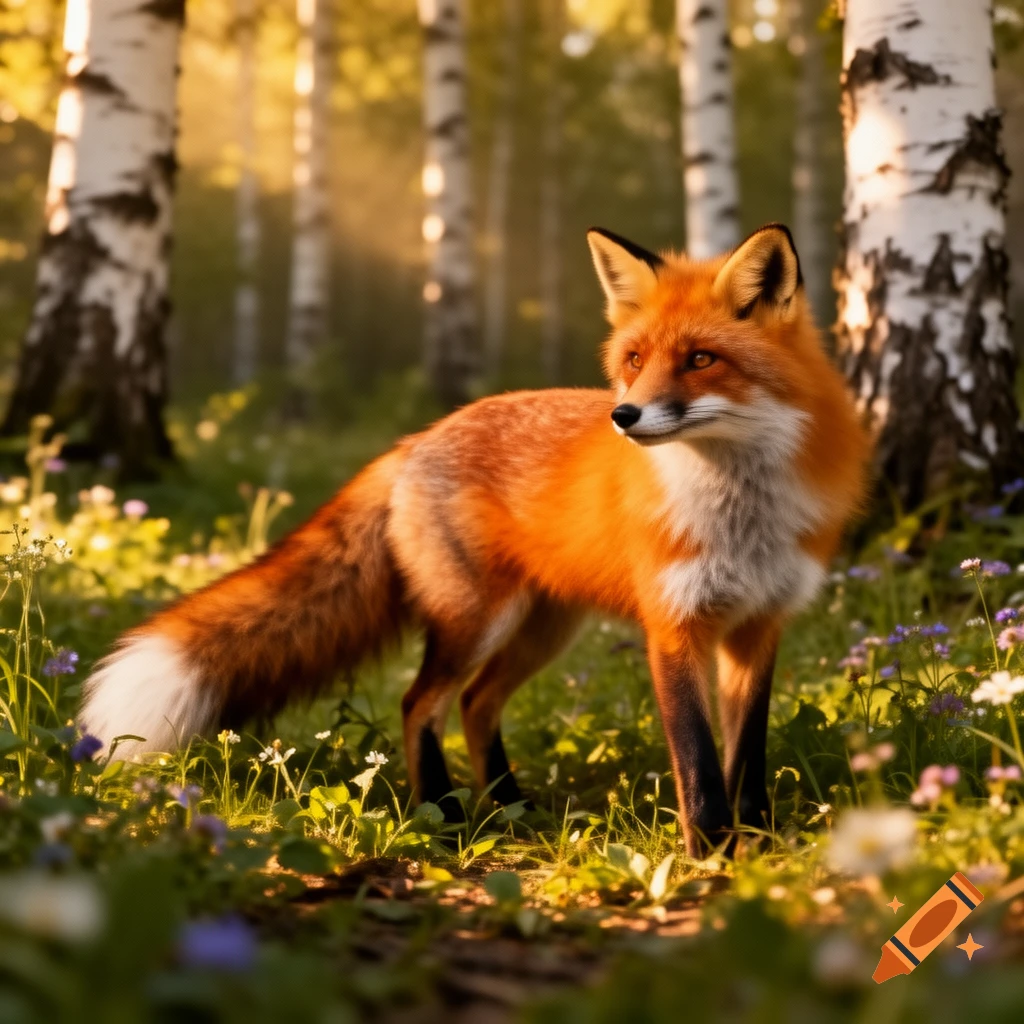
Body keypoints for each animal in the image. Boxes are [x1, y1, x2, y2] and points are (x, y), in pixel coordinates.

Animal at [81, 223, 869, 855]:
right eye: (635, 359)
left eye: (701, 359)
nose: (624, 415)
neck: (740, 510)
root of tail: (416, 440)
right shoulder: (674, 626)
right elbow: (700, 762)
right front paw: (710, 854)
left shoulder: (758, 625)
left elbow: (747, 756)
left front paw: (758, 841)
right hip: (475, 620)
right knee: (420, 704)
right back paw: (446, 816)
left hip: (541, 629)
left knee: (477, 704)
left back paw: (514, 809)